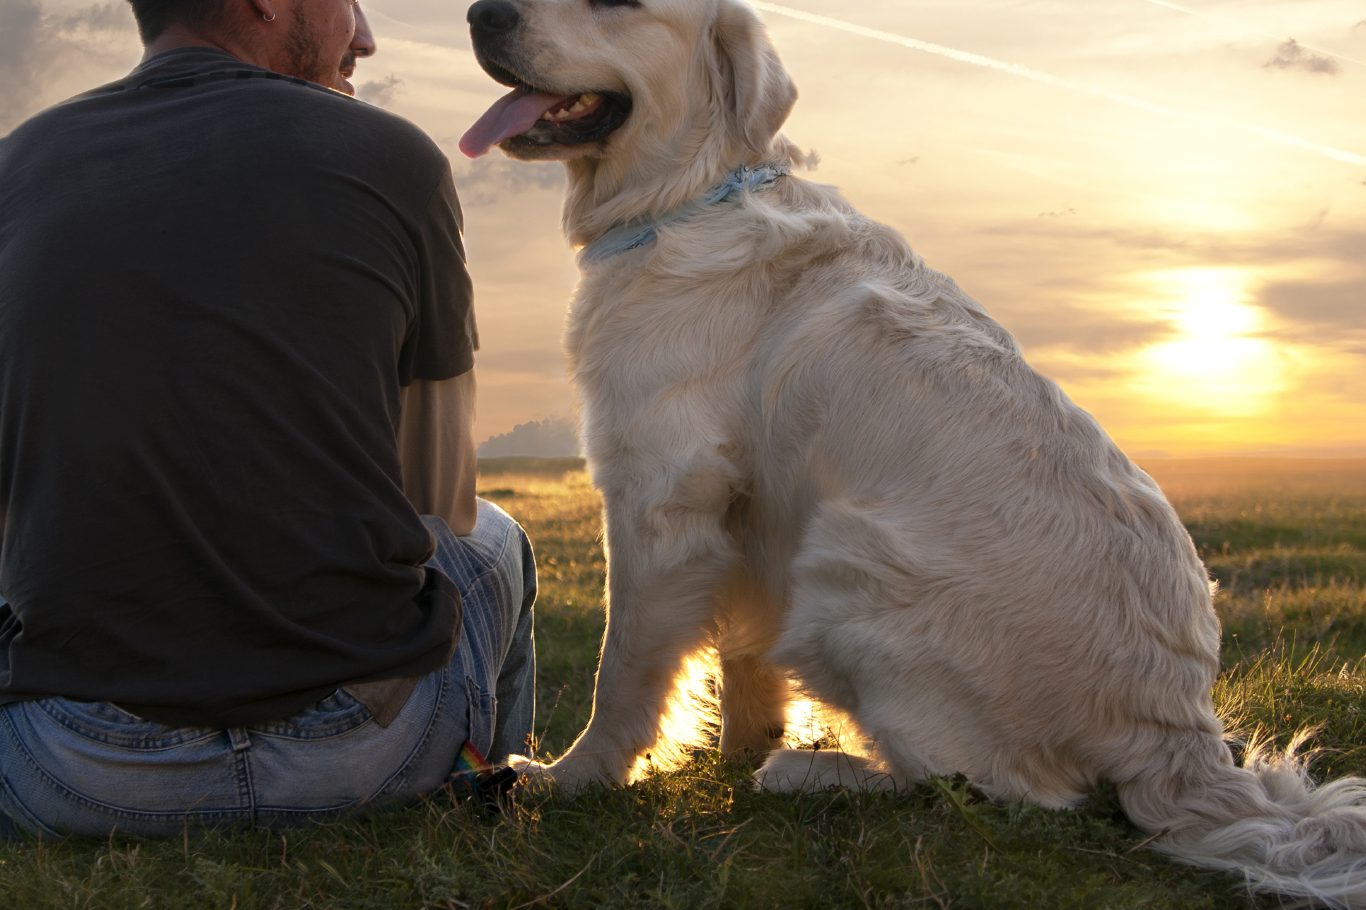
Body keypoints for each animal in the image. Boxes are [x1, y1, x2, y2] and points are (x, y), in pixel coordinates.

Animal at [461, 0, 1366, 896]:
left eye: (618, 4)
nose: (480, 12)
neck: (690, 195)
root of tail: (1176, 733)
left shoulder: (658, 495)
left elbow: (625, 669)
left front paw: (572, 778)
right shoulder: (748, 514)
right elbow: (743, 655)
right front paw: (736, 748)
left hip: (845, 561)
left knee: (993, 785)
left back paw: (812, 772)